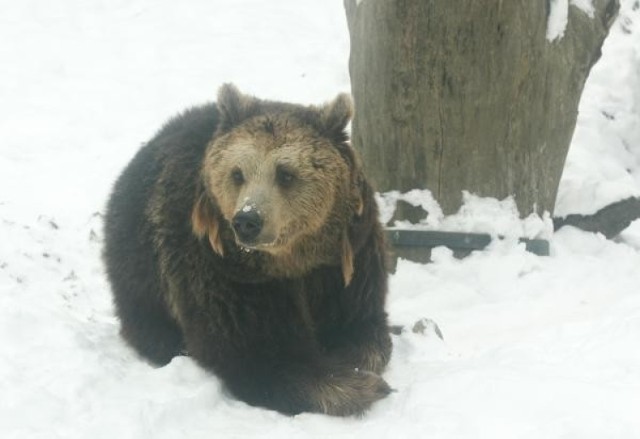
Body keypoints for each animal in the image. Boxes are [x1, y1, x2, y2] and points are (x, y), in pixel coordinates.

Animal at [103, 84, 392, 418]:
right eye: (237, 173)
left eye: (285, 173)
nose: (247, 220)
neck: (294, 259)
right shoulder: (225, 271)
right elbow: (257, 352)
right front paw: (359, 386)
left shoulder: (345, 259)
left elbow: (362, 325)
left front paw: (353, 361)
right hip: (140, 266)